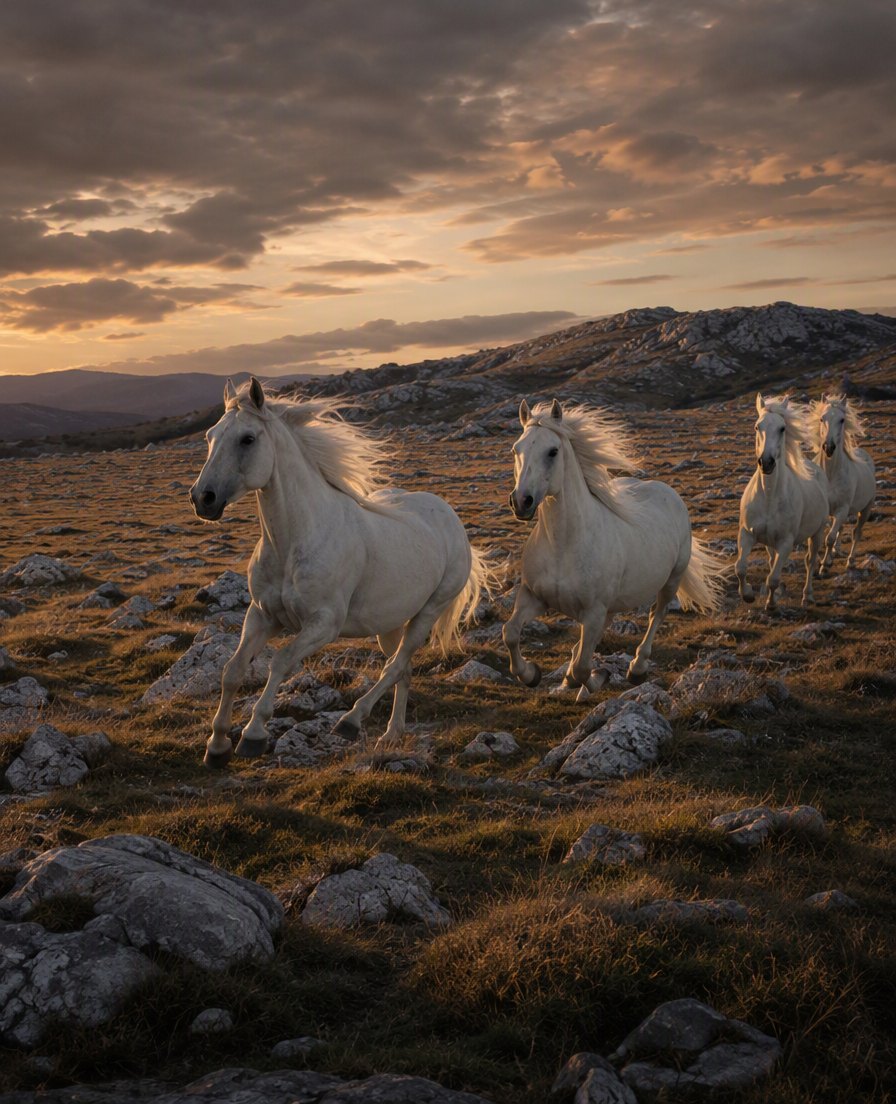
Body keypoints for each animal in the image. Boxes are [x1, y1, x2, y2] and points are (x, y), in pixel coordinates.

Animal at [189, 377, 489, 767]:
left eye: (248, 439)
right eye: (210, 436)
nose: (202, 499)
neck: (294, 543)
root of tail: (449, 516)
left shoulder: (323, 624)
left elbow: (280, 662)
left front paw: (253, 735)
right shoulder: (261, 615)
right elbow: (232, 670)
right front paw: (217, 745)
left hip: (428, 612)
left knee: (395, 666)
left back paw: (350, 721)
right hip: (389, 623)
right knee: (403, 669)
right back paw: (392, 734)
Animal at [503, 399, 724, 700]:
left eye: (553, 451)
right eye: (516, 449)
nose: (521, 502)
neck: (564, 546)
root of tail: (666, 490)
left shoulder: (594, 612)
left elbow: (583, 668)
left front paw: (598, 679)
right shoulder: (533, 597)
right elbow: (511, 632)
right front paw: (530, 674)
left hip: (671, 580)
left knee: (657, 614)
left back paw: (637, 669)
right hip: (611, 603)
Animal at [735, 393, 829, 610]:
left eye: (782, 428)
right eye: (757, 427)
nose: (766, 462)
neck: (769, 497)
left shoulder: (786, 543)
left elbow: (773, 578)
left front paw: (770, 605)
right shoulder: (746, 534)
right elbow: (740, 568)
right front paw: (748, 594)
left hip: (817, 533)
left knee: (810, 561)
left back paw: (807, 596)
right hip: (770, 542)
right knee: (772, 561)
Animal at [810, 394, 876, 574]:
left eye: (842, 420)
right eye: (822, 418)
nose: (829, 447)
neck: (830, 475)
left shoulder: (842, 509)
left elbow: (829, 538)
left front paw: (823, 567)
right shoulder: (826, 511)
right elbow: (825, 536)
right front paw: (823, 561)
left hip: (865, 509)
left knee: (856, 532)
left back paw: (850, 561)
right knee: (841, 529)